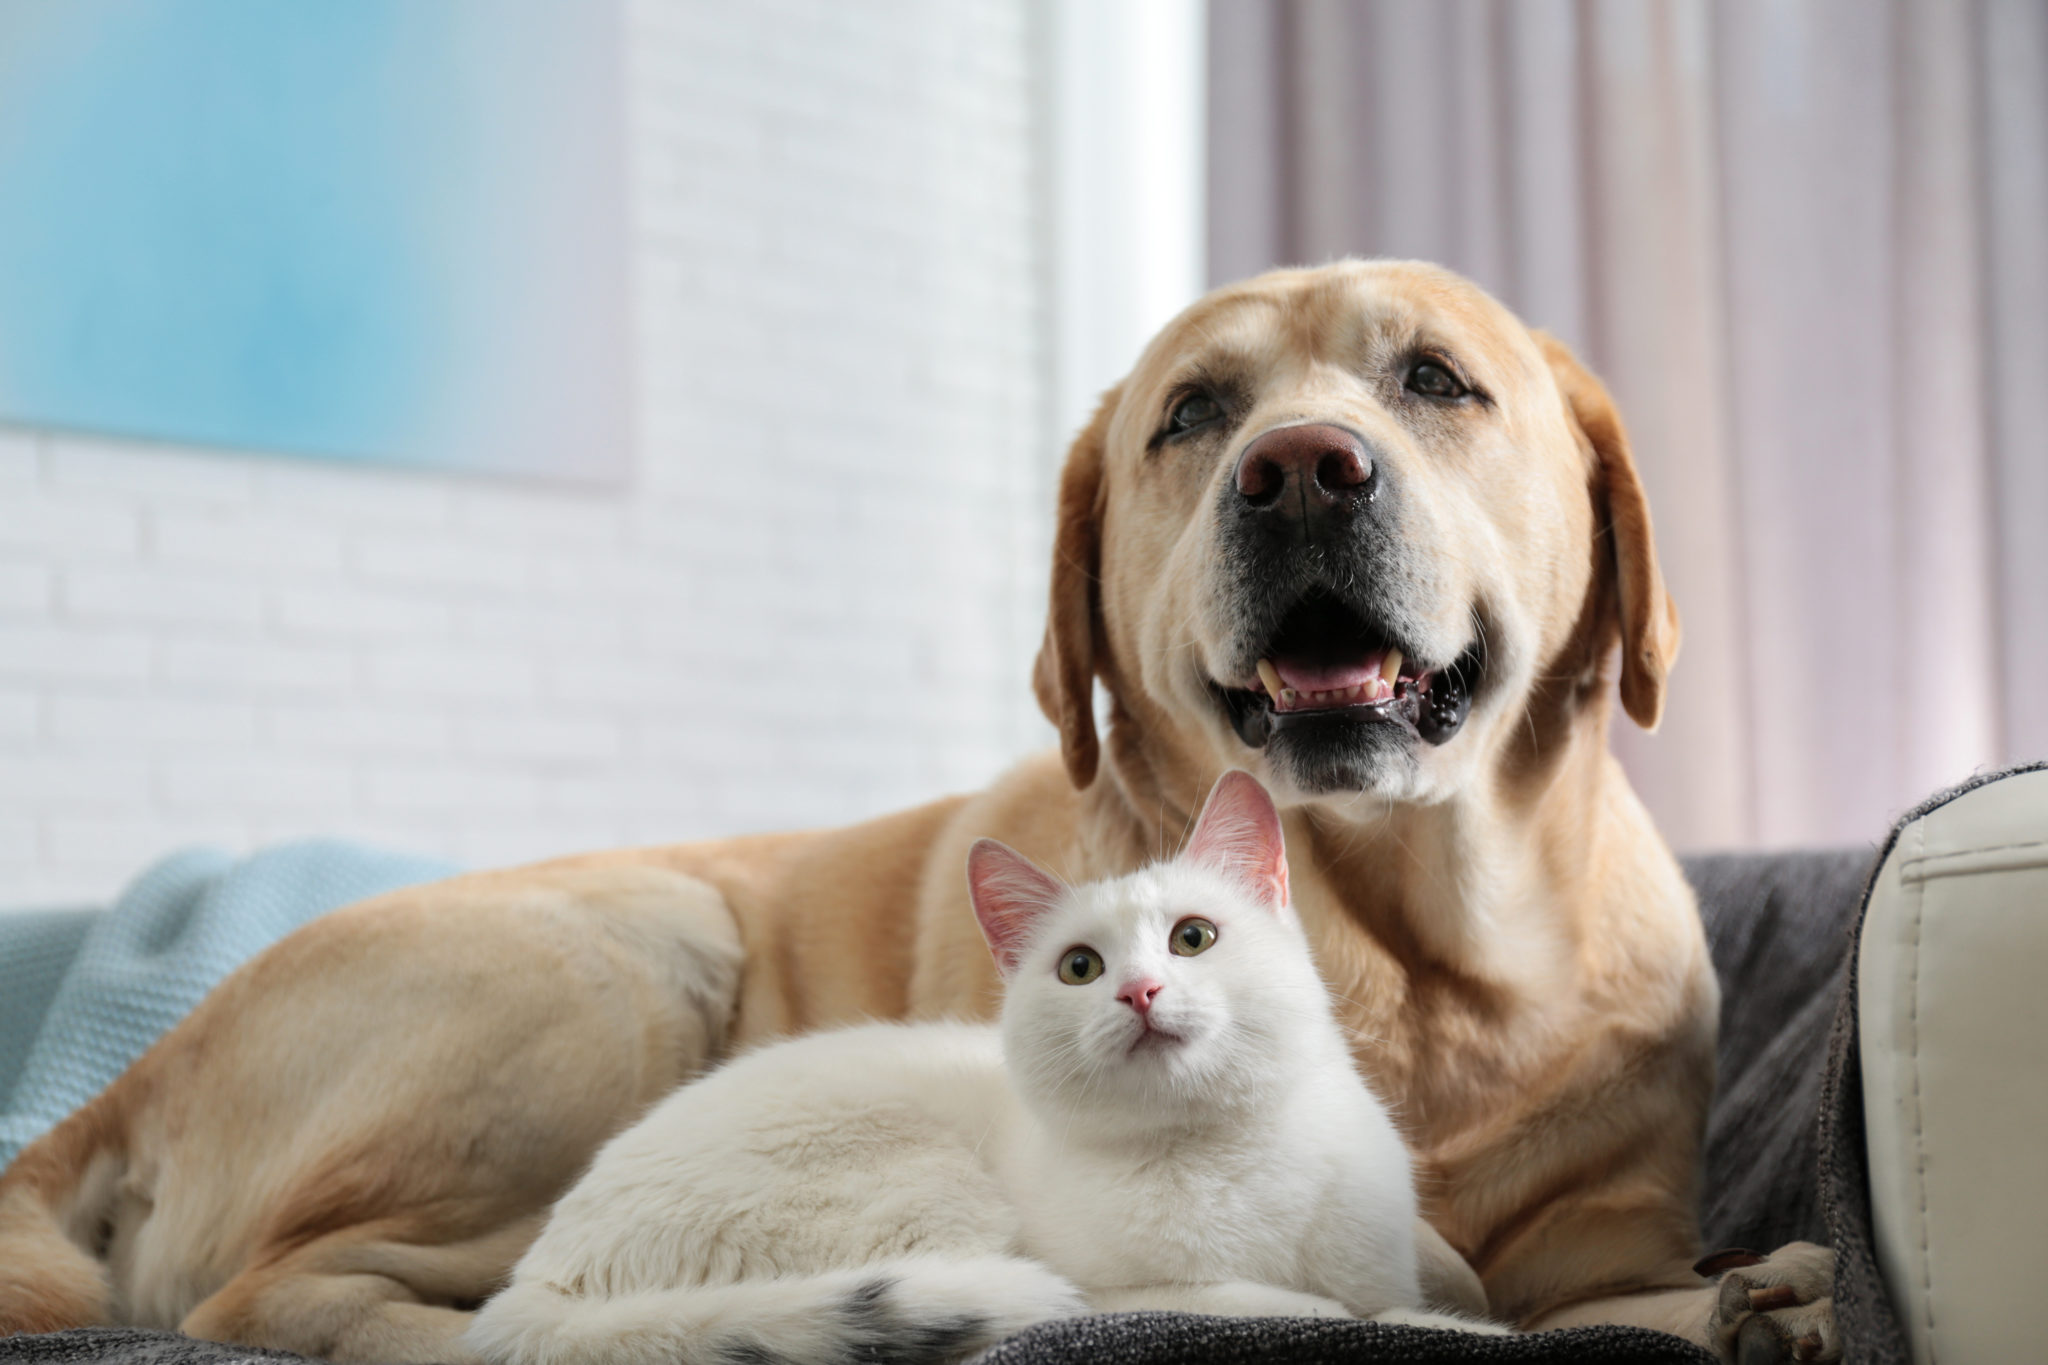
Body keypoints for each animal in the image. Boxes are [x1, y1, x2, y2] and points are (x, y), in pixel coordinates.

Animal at [464, 769, 1499, 1365]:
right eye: (1079, 967)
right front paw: (1420, 1324)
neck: (1224, 1151)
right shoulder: (1117, 1289)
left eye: (1194, 937)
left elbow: (1391, 1298)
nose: (1140, 992)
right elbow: (1316, 1310)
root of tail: (538, 1281)